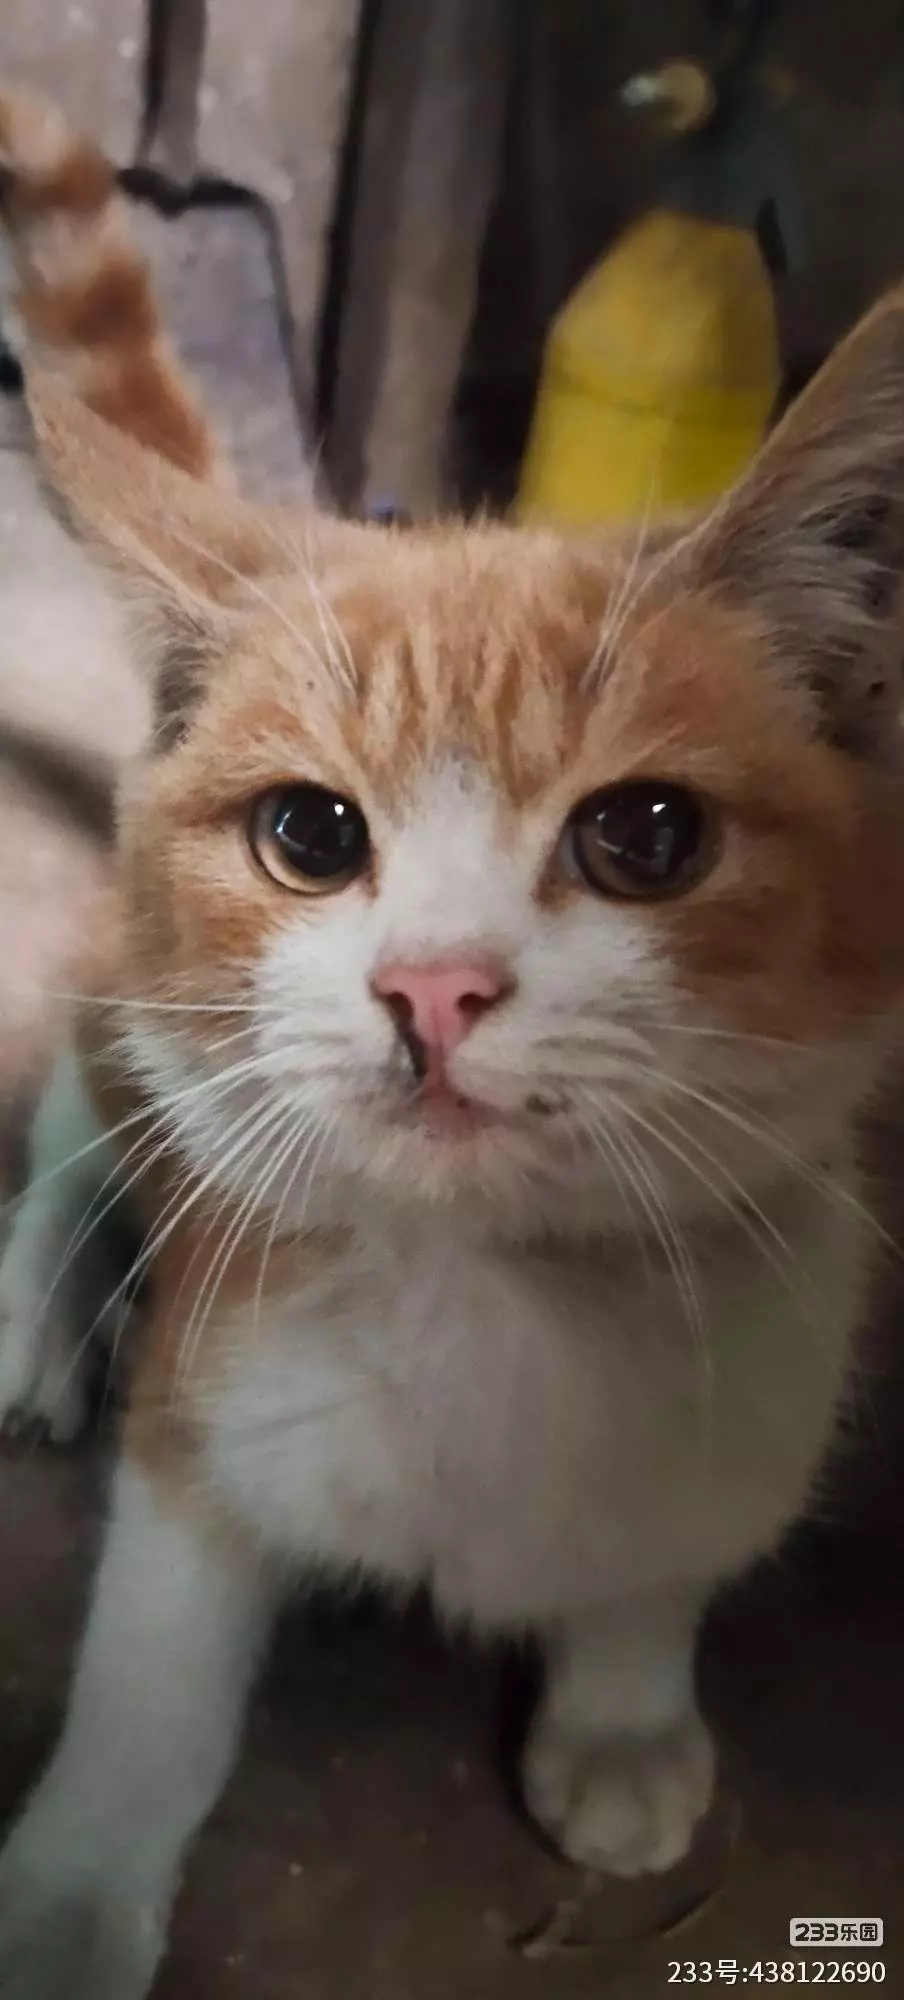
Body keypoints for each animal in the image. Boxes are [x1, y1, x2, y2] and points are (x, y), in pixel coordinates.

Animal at [3, 86, 904, 2000]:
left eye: (645, 837)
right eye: (308, 834)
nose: (434, 985)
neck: (495, 1297)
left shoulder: (764, 1364)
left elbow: (663, 1556)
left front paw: (623, 1717)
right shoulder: (211, 1384)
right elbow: (152, 1665)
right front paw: (69, 1893)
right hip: (144, 1013)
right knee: (77, 1106)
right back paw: (41, 1304)